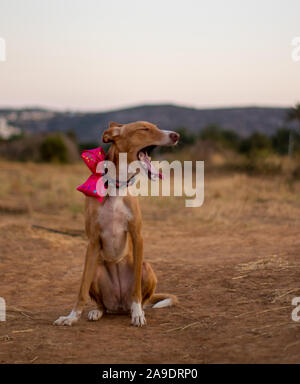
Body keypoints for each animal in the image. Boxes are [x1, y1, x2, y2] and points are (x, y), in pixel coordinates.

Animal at [53, 121, 179, 326]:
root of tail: (119, 305)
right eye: (144, 129)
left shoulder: (137, 236)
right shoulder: (92, 241)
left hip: (147, 267)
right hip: (97, 270)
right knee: (101, 304)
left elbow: (136, 288)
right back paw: (97, 311)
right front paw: (71, 317)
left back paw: (136, 309)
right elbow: (81, 288)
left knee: (143, 298)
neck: (117, 186)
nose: (176, 135)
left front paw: (137, 313)